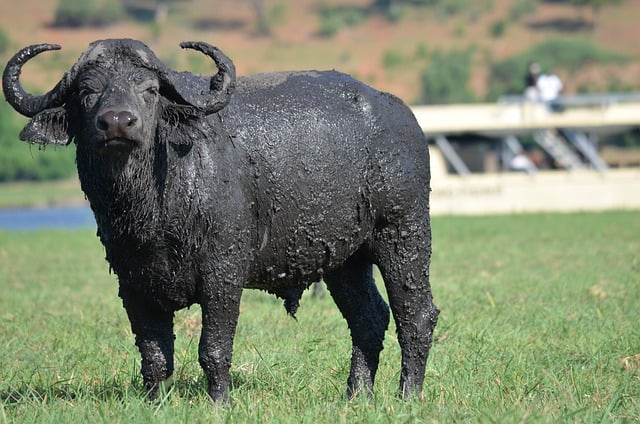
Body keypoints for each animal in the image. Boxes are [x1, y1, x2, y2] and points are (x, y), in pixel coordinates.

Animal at [1, 39, 440, 400]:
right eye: (87, 91)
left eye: (149, 90)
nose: (117, 122)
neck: (154, 208)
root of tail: (402, 116)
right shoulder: (132, 282)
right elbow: (154, 355)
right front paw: (155, 403)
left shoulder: (223, 273)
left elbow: (213, 348)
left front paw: (219, 401)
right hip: (344, 259)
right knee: (369, 318)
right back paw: (356, 396)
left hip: (404, 233)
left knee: (416, 315)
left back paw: (408, 395)